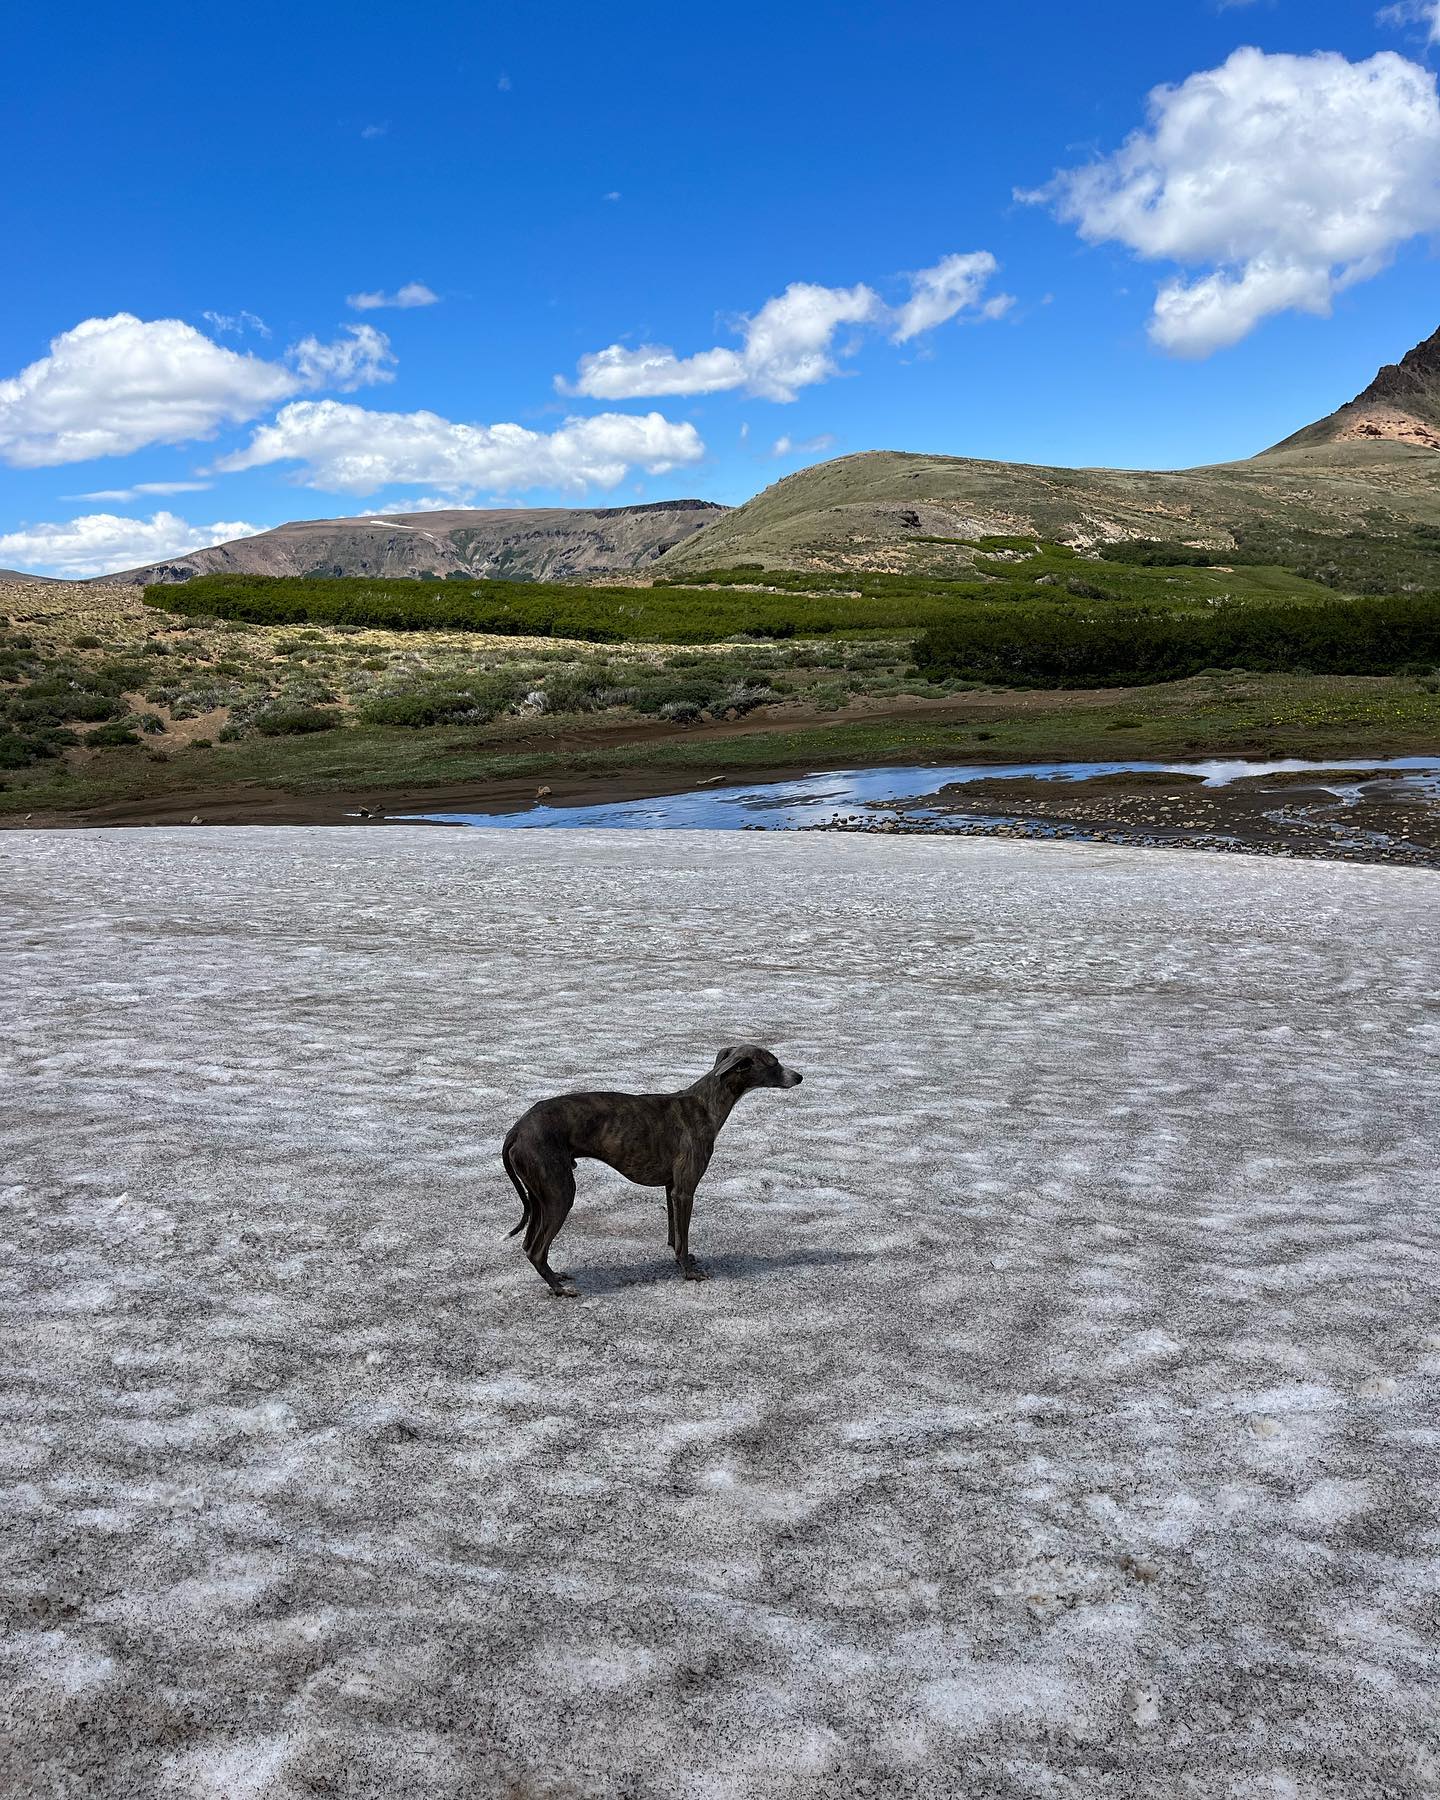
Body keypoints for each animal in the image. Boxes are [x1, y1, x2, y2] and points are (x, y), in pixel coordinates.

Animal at [504, 1051, 799, 1303]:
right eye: (773, 1062)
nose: (800, 1077)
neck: (704, 1104)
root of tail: (517, 1129)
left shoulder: (671, 1188)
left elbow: (675, 1235)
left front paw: (683, 1259)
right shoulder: (685, 1191)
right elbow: (682, 1237)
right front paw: (689, 1273)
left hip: (540, 1195)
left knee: (528, 1244)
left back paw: (556, 1277)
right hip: (560, 1193)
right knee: (536, 1249)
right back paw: (559, 1290)